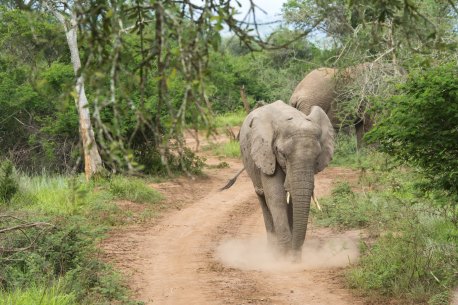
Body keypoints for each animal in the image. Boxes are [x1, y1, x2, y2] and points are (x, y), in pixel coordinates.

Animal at [240, 100, 332, 262]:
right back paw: (271, 249)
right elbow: (276, 198)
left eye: (317, 157)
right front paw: (282, 257)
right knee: (262, 199)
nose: (295, 259)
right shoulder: (267, 153)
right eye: (282, 154)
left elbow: (292, 199)